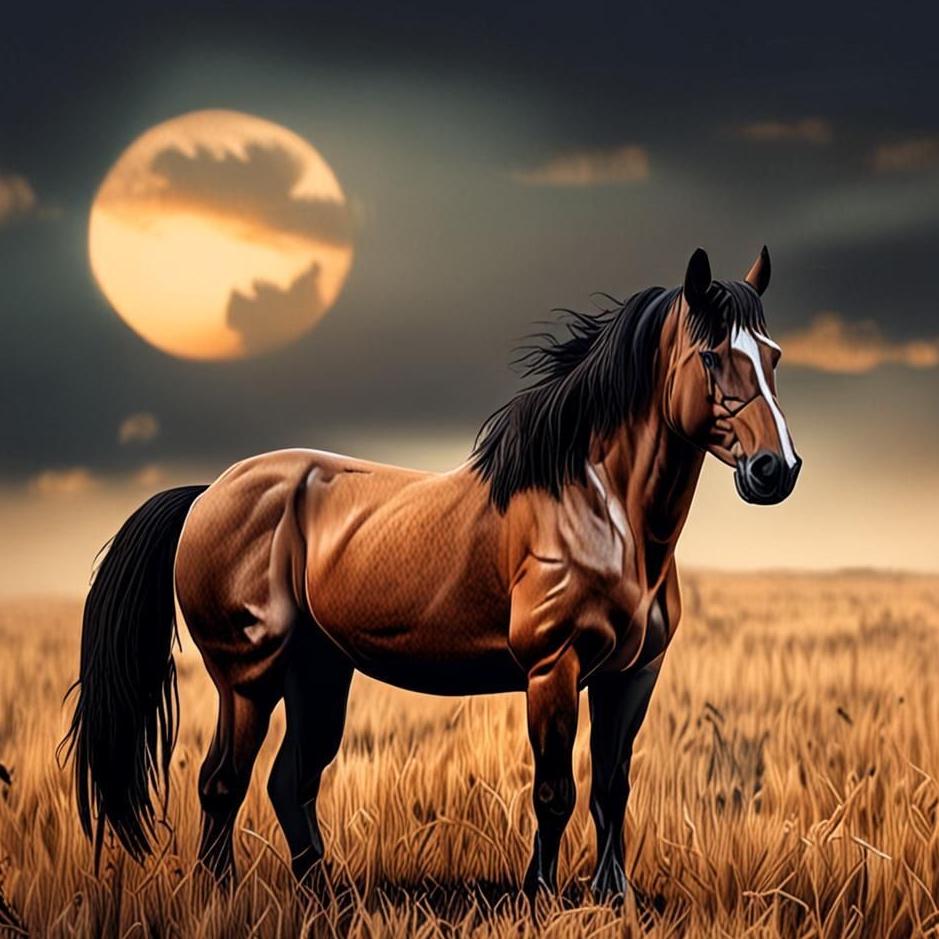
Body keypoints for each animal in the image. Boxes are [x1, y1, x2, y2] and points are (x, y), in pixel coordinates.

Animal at [64, 246, 800, 900]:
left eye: (771, 355)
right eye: (712, 355)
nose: (777, 470)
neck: (602, 509)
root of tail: (207, 492)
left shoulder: (632, 675)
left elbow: (611, 790)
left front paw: (611, 897)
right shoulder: (552, 668)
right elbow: (554, 791)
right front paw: (539, 896)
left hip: (316, 671)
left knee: (289, 781)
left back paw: (323, 896)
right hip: (247, 678)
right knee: (222, 782)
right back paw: (221, 898)